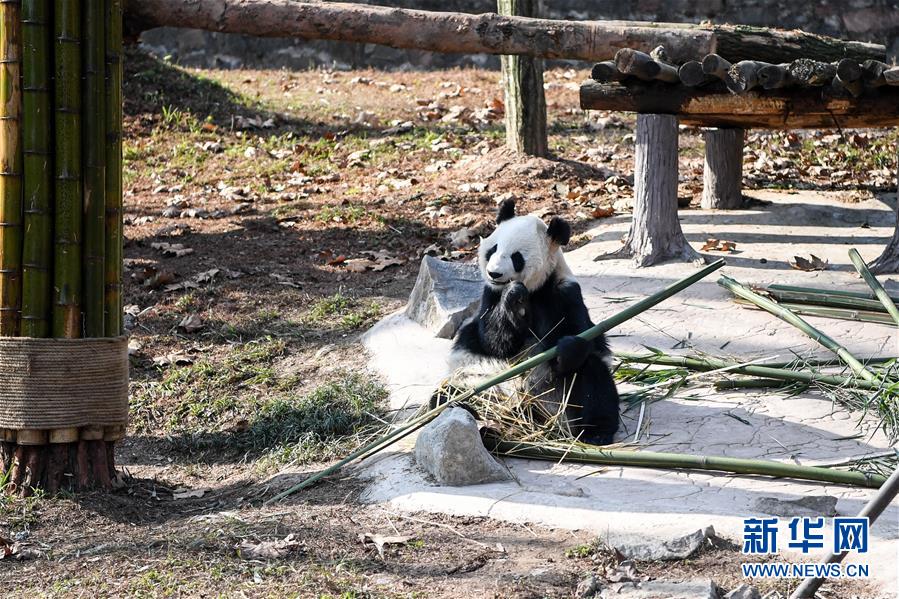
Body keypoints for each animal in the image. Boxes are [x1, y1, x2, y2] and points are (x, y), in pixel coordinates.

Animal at [440, 200, 624, 446]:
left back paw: (597, 432)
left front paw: (567, 347)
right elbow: (492, 341)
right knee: (445, 394)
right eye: (493, 249)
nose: (494, 273)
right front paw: (513, 298)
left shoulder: (564, 293)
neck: (534, 290)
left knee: (594, 379)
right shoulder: (489, 296)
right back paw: (468, 412)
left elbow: (580, 336)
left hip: (556, 396)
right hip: (477, 382)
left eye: (516, 257)